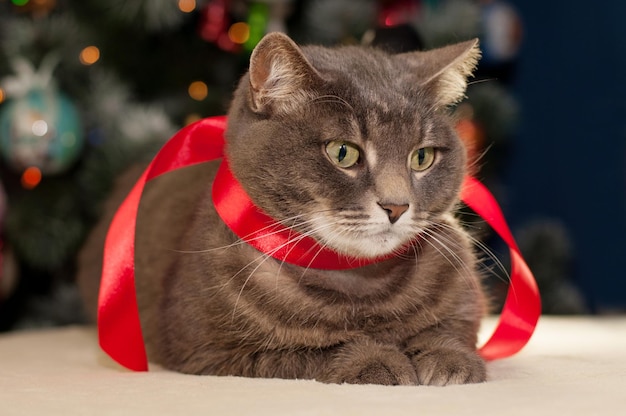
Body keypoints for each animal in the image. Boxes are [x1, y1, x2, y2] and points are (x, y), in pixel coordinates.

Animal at [78, 32, 486, 386]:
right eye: (343, 152)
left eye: (422, 157)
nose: (396, 205)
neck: (357, 281)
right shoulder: (210, 353)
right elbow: (306, 353)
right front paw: (374, 360)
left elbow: (452, 330)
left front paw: (451, 358)